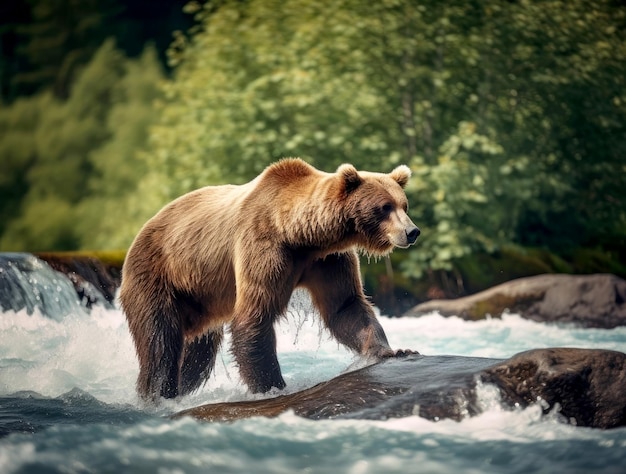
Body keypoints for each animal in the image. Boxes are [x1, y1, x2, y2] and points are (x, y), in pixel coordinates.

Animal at [119, 158, 416, 400]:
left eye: (404, 205)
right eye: (384, 207)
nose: (412, 231)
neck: (302, 236)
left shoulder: (328, 260)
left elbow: (345, 307)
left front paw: (391, 350)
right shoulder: (265, 248)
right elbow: (254, 317)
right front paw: (271, 387)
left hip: (200, 297)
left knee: (198, 353)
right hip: (157, 274)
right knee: (160, 341)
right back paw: (156, 393)